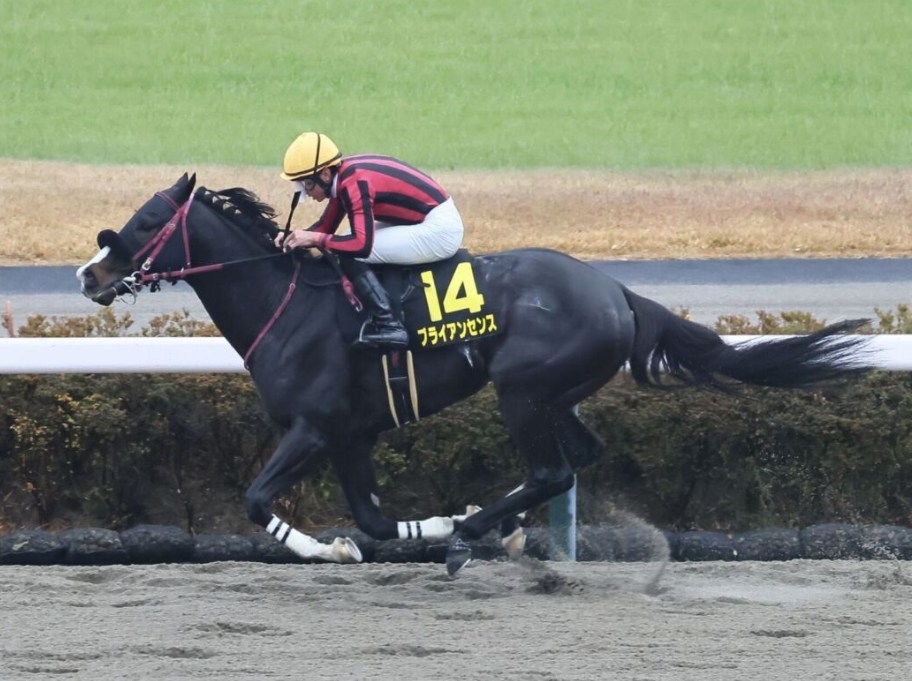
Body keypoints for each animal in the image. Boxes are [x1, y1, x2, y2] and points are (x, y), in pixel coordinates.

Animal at [77, 173, 871, 575]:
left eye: (145, 222)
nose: (89, 273)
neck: (287, 300)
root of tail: (617, 291)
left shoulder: (316, 426)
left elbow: (255, 499)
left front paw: (340, 544)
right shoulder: (352, 434)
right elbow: (372, 518)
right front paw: (386, 534)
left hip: (520, 388)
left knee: (553, 469)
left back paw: (475, 533)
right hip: (555, 393)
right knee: (578, 457)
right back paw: (495, 524)